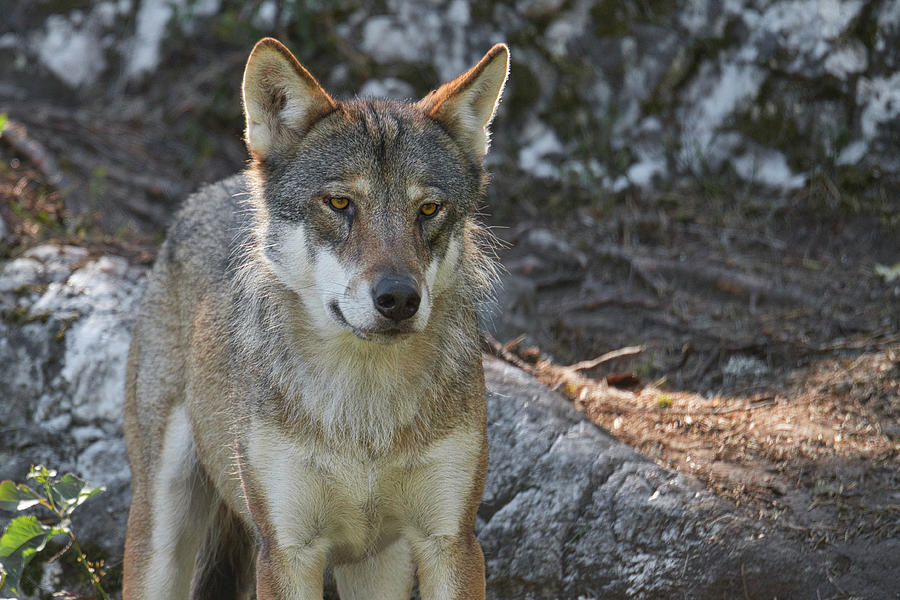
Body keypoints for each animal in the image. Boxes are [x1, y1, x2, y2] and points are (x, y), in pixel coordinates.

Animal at [123, 38, 510, 600]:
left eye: (429, 209)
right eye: (340, 202)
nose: (399, 298)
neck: (364, 414)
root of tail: (212, 190)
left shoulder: (451, 542)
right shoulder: (287, 552)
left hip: (377, 568)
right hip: (162, 533)